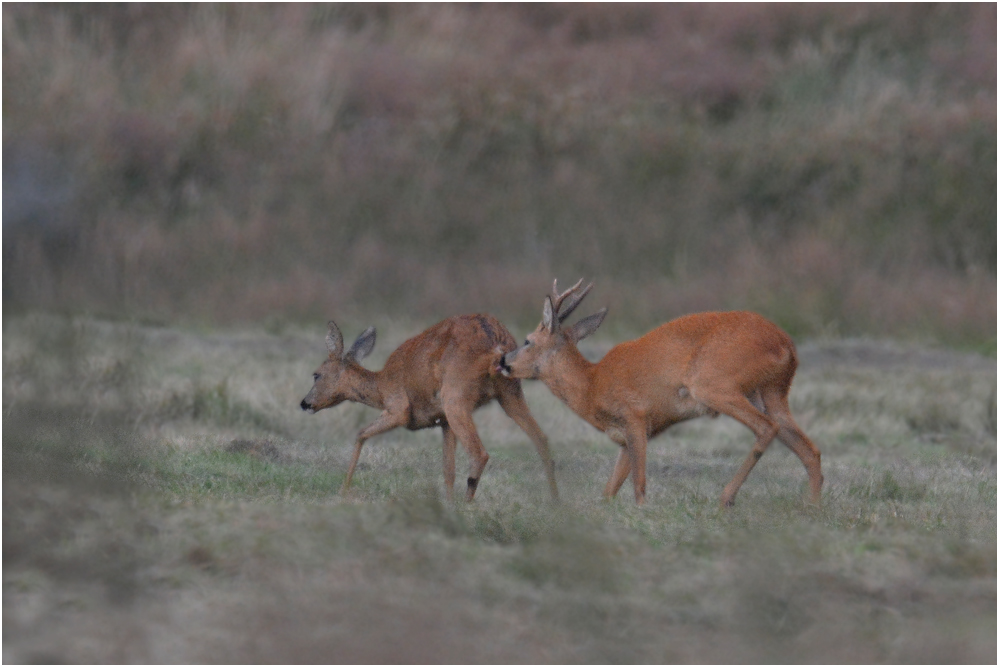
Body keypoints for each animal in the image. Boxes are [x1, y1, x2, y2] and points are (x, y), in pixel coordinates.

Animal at [300, 316, 560, 498]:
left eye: (316, 374)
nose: (304, 403)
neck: (382, 386)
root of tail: (496, 343)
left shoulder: (399, 408)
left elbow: (361, 434)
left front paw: (343, 491)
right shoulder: (443, 421)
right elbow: (448, 469)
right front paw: (448, 503)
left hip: (455, 394)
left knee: (479, 453)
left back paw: (467, 507)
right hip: (510, 391)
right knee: (541, 440)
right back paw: (555, 504)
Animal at [498, 280, 820, 506]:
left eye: (527, 340)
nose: (502, 361)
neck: (592, 384)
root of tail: (786, 344)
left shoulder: (636, 417)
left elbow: (639, 487)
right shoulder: (626, 436)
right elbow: (608, 491)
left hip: (715, 384)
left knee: (767, 428)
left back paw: (726, 498)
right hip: (771, 392)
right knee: (809, 449)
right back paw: (811, 508)